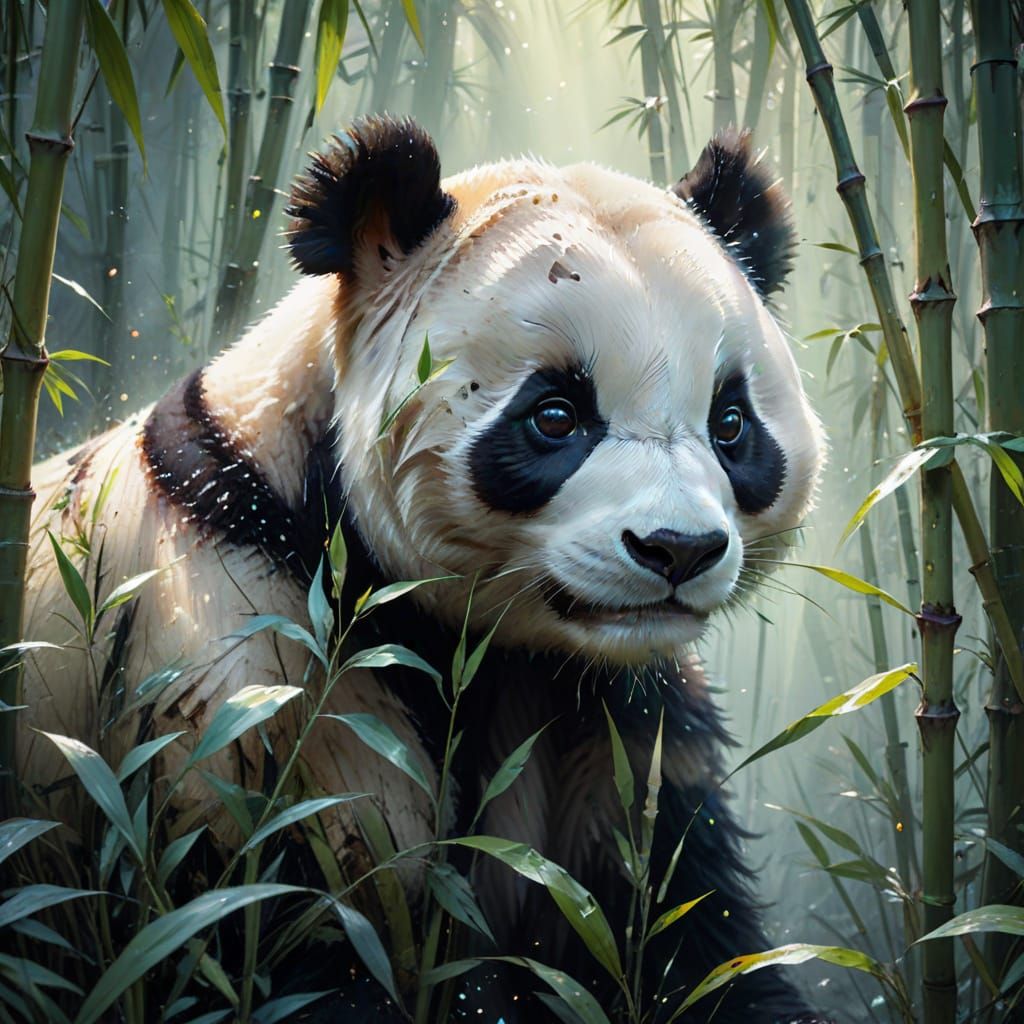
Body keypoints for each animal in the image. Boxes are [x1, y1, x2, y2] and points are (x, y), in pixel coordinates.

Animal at [17, 116, 826, 1022]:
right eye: (555, 415)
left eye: (731, 424)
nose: (677, 549)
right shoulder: (250, 645)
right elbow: (294, 917)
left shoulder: (616, 711)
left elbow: (676, 922)